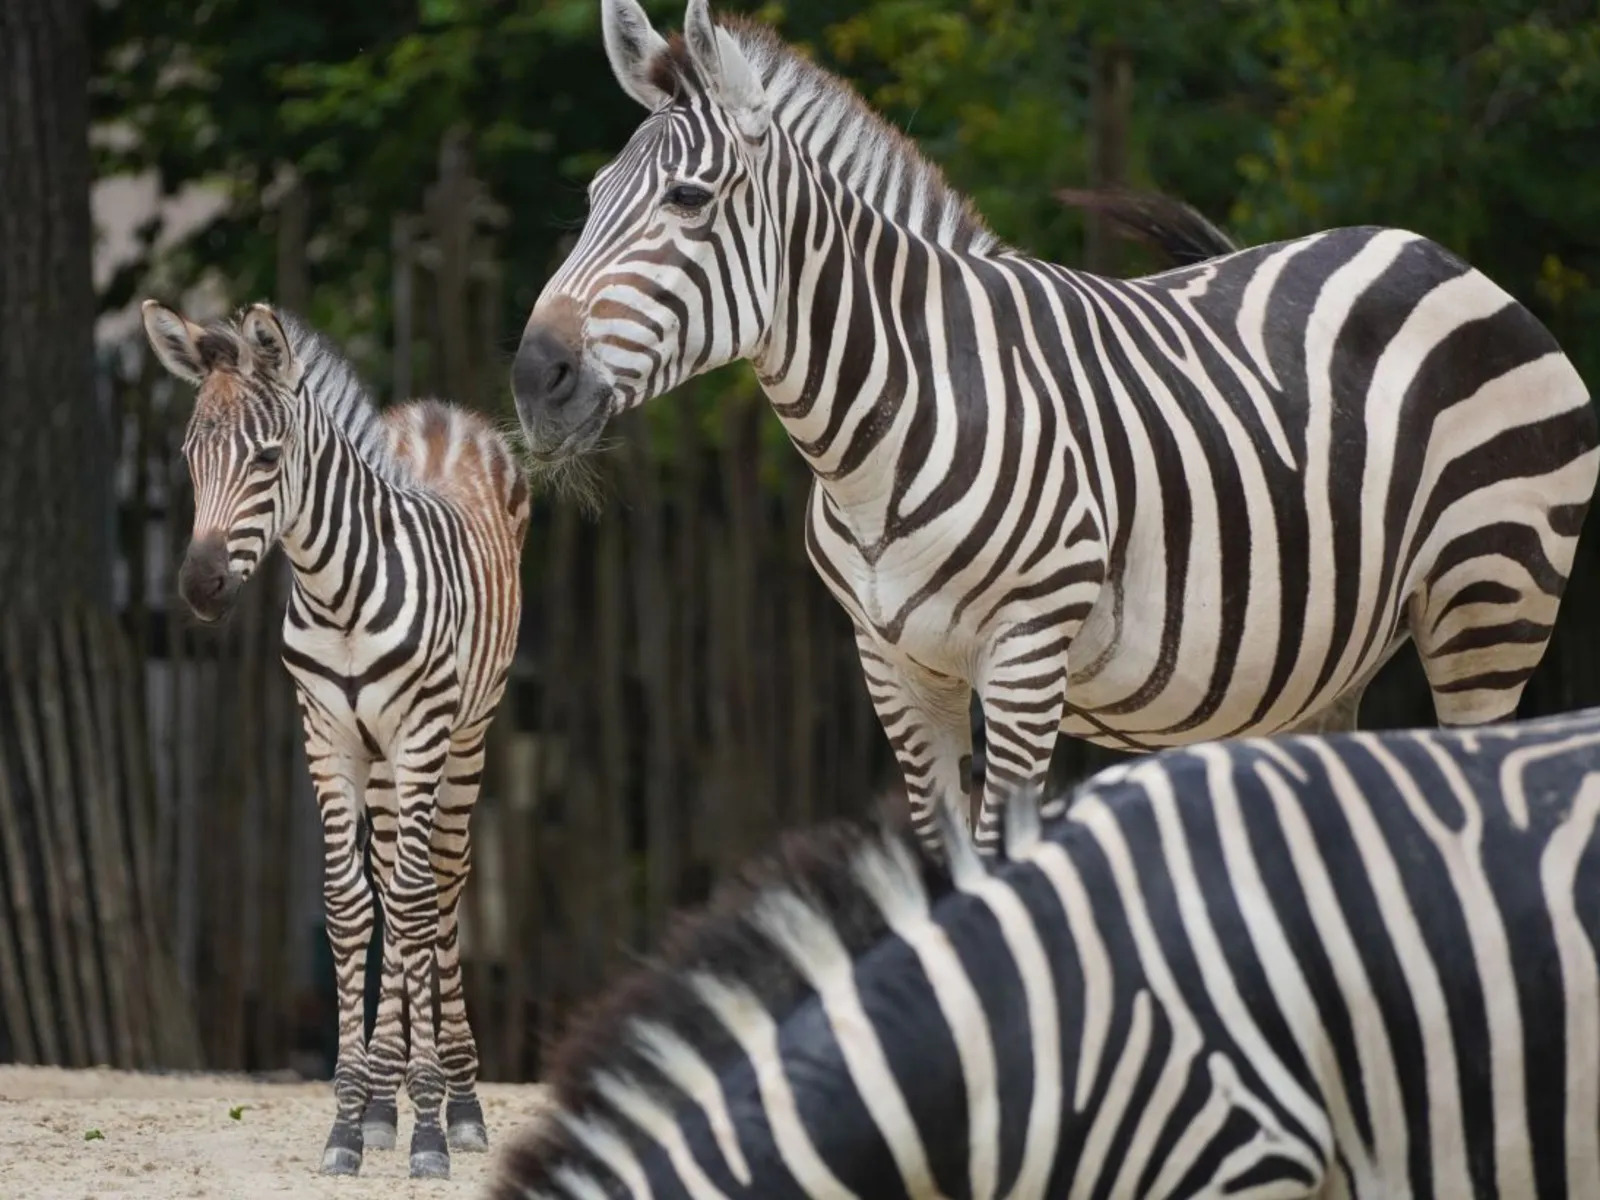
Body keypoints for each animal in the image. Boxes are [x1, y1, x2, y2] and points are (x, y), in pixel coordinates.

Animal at [141, 299, 529, 1179]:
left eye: (267, 456)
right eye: (188, 455)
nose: (201, 587)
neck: (340, 592)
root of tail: (439, 414)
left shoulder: (420, 733)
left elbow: (416, 907)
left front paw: (430, 1131)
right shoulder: (326, 736)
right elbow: (352, 906)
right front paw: (352, 1122)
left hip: (465, 737)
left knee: (440, 886)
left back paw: (459, 1107)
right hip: (382, 764)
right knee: (392, 880)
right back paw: (388, 1102)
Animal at [508, 0, 1600, 859]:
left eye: (689, 200)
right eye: (593, 199)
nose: (533, 377)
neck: (878, 435)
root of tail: (1433, 253)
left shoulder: (1026, 653)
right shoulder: (893, 667)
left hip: (1491, 597)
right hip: (1329, 658)